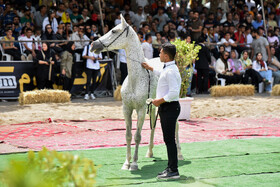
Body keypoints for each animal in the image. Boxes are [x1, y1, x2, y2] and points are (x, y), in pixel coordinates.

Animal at [90, 15, 184, 169]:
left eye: (114, 31)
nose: (93, 45)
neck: (136, 78)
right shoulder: (126, 109)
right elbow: (128, 135)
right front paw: (126, 163)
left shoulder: (141, 109)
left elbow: (137, 136)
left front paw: (133, 163)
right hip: (153, 107)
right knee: (153, 126)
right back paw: (150, 152)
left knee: (176, 126)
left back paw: (180, 155)